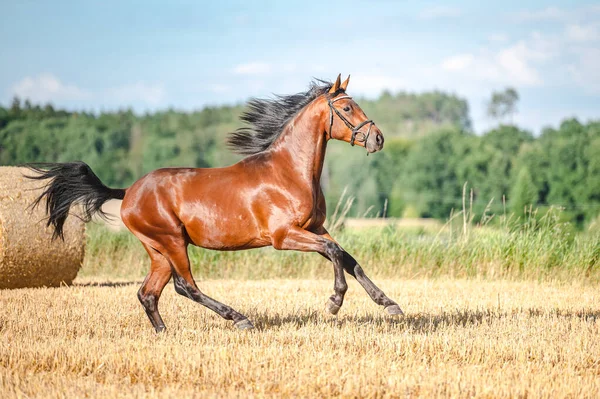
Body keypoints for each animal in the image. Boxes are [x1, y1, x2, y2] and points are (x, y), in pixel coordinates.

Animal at [27, 74, 404, 332]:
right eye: (346, 107)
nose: (379, 138)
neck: (289, 171)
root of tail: (128, 192)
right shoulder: (284, 236)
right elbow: (335, 252)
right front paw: (334, 302)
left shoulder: (315, 227)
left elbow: (349, 258)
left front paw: (390, 304)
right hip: (172, 241)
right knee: (185, 286)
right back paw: (239, 318)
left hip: (157, 250)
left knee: (148, 292)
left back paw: (163, 332)